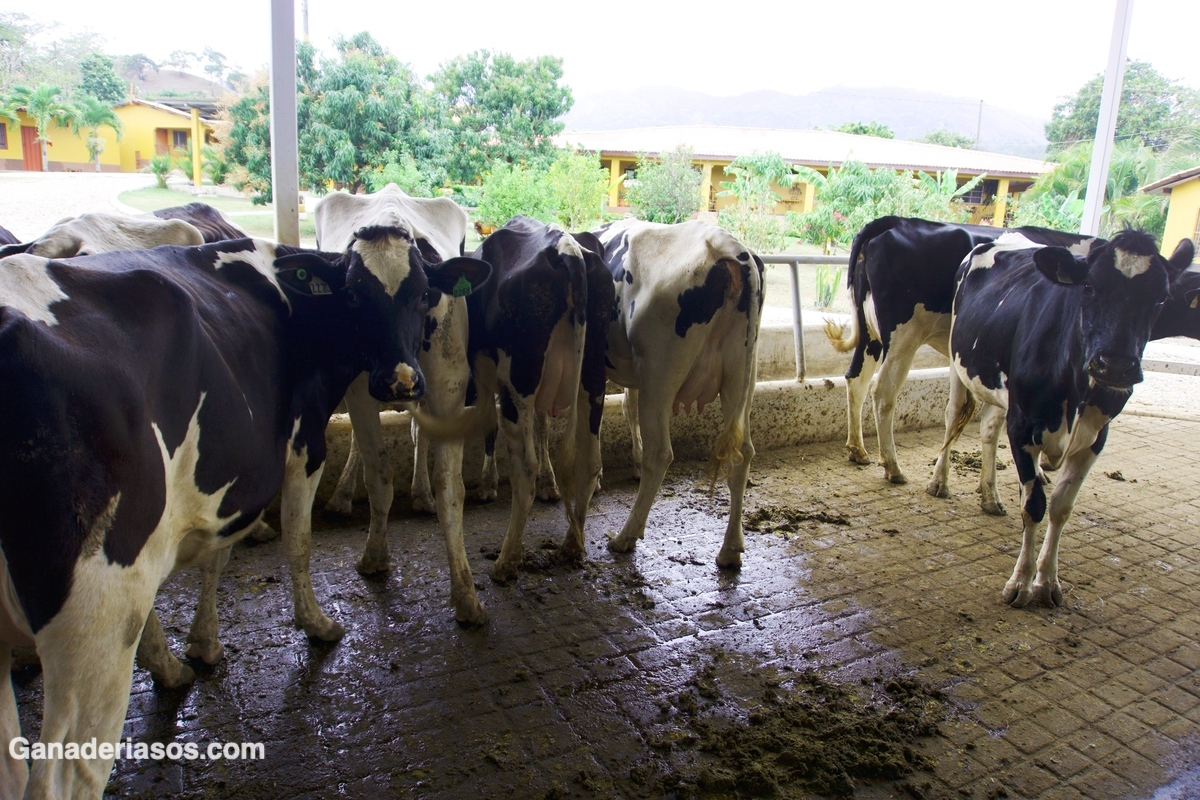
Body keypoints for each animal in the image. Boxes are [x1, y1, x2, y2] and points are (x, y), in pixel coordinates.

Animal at [1, 227, 487, 796]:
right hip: (95, 602)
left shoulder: (239, 471)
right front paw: (316, 622)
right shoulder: (302, 441)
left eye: (423, 293)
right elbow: (296, 539)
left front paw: (203, 642)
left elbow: (219, 555)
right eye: (353, 295)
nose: (400, 382)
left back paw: (168, 667)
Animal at [463, 217, 614, 582]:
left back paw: (507, 560)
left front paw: (487, 486)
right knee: (589, 461)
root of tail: (567, 247)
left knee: (524, 468)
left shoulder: (486, 372)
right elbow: (544, 429)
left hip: (520, 377)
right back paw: (571, 546)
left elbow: (490, 428)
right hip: (592, 377)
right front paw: (550, 485)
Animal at [595, 219, 763, 566]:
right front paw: (631, 462)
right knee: (743, 453)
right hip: (743, 374)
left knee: (661, 453)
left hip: (659, 369)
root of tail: (726, 246)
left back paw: (625, 536)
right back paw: (730, 549)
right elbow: (627, 408)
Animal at [825, 215, 1099, 484]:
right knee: (882, 392)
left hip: (870, 332)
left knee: (856, 379)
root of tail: (893, 221)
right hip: (904, 335)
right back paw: (893, 467)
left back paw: (858, 450)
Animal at [916, 230, 1190, 606]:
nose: (1116, 365)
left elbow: (1061, 507)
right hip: (961, 364)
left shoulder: (1095, 439)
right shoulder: (1022, 427)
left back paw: (990, 495)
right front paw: (1020, 583)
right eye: (1089, 287)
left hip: (1001, 390)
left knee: (989, 429)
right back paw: (940, 482)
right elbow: (1033, 505)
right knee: (953, 417)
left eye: (1160, 299)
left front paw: (1046, 582)